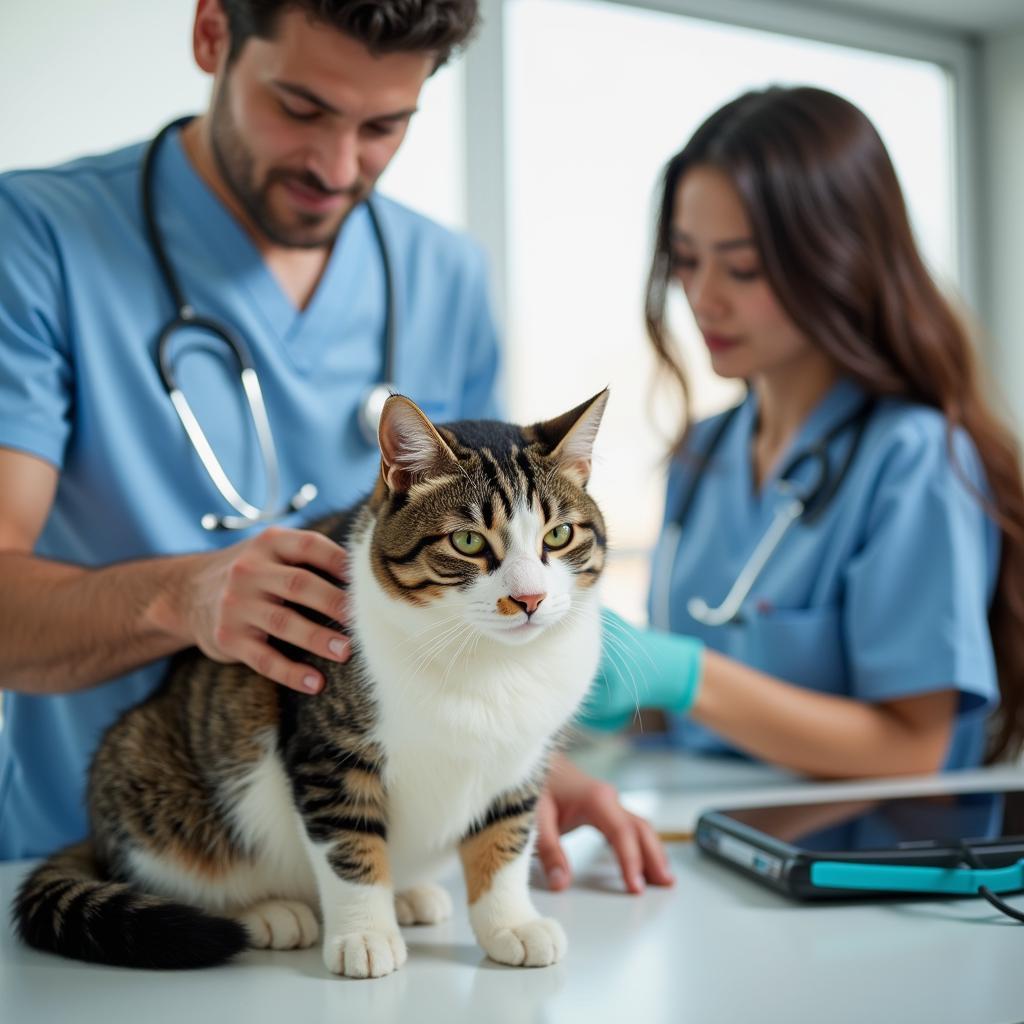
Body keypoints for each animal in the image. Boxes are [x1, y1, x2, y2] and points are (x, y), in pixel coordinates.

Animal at [14, 389, 606, 974]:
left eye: (559, 534)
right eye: (466, 541)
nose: (529, 599)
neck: (488, 660)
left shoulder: (521, 761)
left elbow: (506, 842)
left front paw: (511, 923)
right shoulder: (329, 750)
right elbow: (348, 846)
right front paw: (365, 934)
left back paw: (409, 895)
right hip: (146, 775)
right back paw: (265, 913)